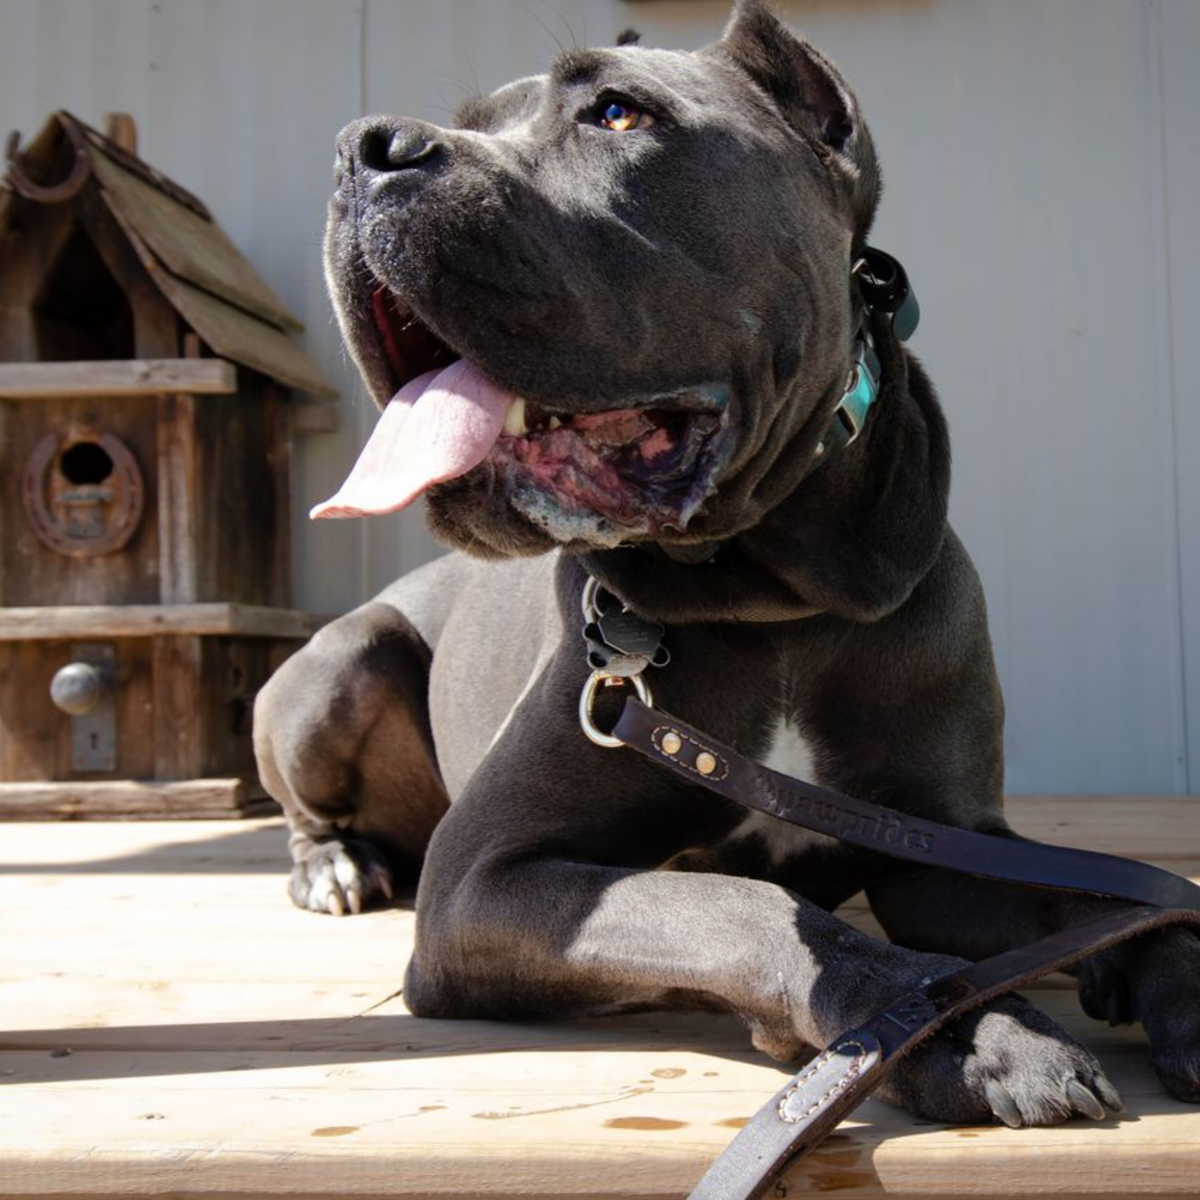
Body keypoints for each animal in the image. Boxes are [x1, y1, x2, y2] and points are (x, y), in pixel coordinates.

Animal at [253, 0, 1200, 1123]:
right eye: (472, 119)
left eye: (618, 113)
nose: (362, 147)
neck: (770, 599)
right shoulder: (483, 879)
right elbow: (745, 904)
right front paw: (961, 1029)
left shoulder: (939, 847)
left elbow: (1102, 894)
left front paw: (1174, 984)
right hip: (340, 664)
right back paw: (336, 864)